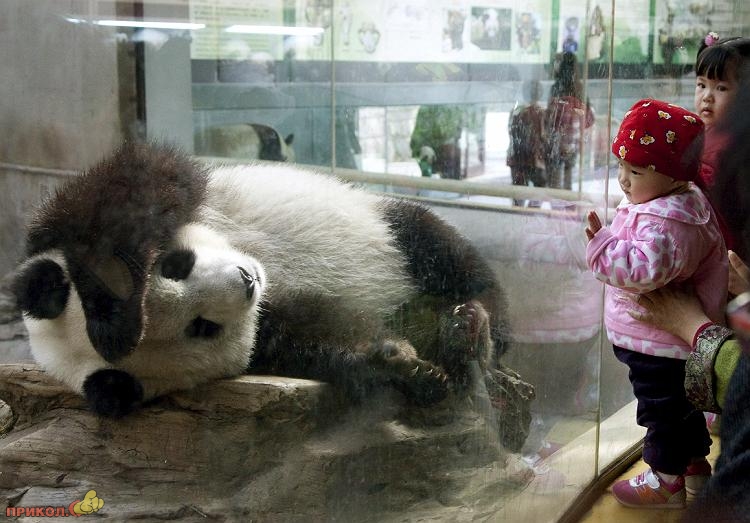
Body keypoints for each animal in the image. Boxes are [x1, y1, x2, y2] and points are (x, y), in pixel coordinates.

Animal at [11, 142, 512, 422]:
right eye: (201, 327)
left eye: (175, 265)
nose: (246, 279)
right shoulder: (267, 332)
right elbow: (313, 337)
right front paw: (404, 366)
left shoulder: (58, 227)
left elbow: (137, 182)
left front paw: (113, 321)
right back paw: (456, 339)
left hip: (384, 229)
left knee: (435, 244)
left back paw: (479, 321)